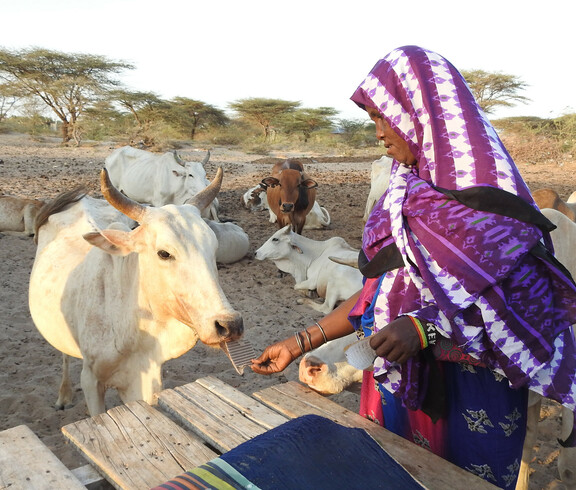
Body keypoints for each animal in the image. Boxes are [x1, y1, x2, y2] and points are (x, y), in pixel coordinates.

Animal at [29, 167, 243, 416]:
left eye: (214, 248)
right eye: (164, 253)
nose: (229, 324)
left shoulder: (147, 380)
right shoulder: (91, 381)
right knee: (63, 354)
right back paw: (64, 395)